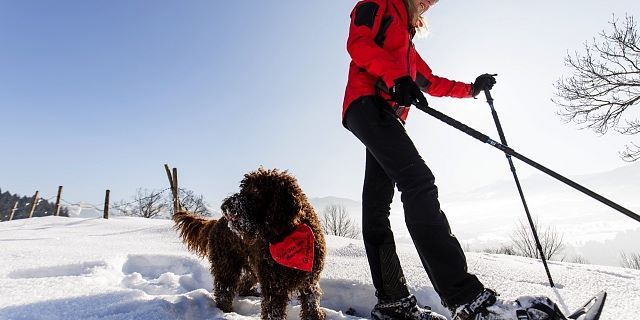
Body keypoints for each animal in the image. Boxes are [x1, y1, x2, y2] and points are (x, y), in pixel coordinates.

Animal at [172, 169, 324, 318]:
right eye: (243, 189)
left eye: (255, 191)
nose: (224, 206)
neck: (287, 232)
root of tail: (217, 222)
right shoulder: (273, 287)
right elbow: (273, 312)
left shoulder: (310, 281)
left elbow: (311, 305)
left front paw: (315, 316)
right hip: (226, 265)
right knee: (223, 290)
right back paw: (225, 311)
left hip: (252, 266)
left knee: (242, 284)